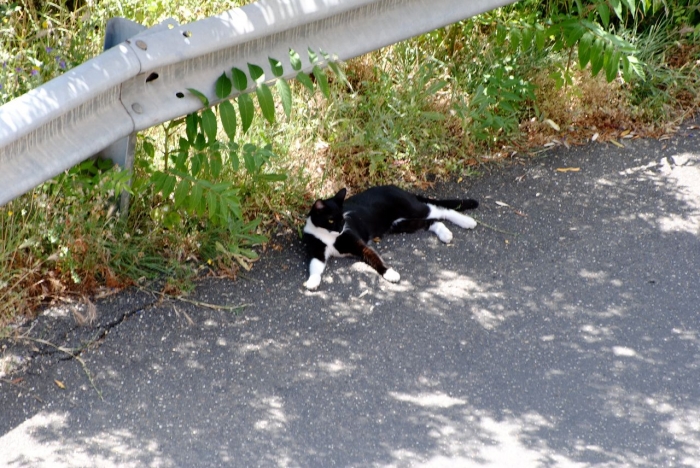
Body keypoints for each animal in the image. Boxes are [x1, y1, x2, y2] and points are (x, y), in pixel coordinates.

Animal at [304, 186, 478, 288]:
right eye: (331, 220)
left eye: (342, 219)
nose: (341, 229)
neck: (328, 236)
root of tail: (399, 188)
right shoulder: (316, 251)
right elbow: (315, 266)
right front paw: (312, 281)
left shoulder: (359, 244)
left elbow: (374, 257)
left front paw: (390, 274)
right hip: (401, 224)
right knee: (431, 222)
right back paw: (445, 234)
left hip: (412, 209)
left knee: (440, 211)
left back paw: (467, 221)